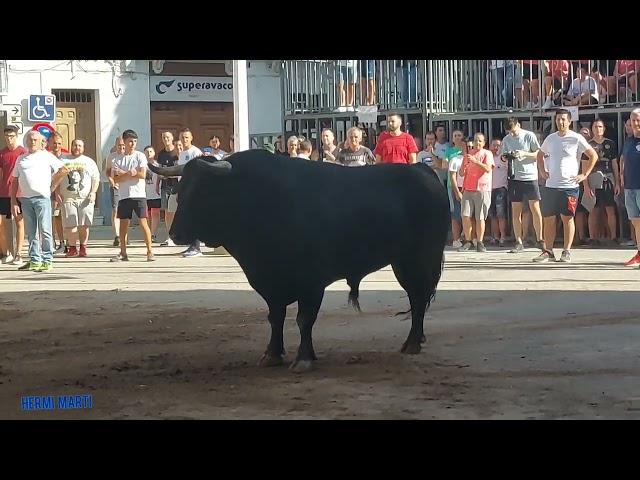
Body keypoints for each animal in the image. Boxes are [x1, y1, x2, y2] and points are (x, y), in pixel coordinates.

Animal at [150, 152, 450, 374]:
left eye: (203, 191)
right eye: (181, 188)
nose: (176, 234)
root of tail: (424, 172)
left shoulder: (311, 282)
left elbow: (304, 319)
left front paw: (303, 358)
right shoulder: (269, 281)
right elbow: (276, 318)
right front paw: (272, 354)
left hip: (418, 260)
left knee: (417, 298)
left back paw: (412, 343)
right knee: (417, 298)